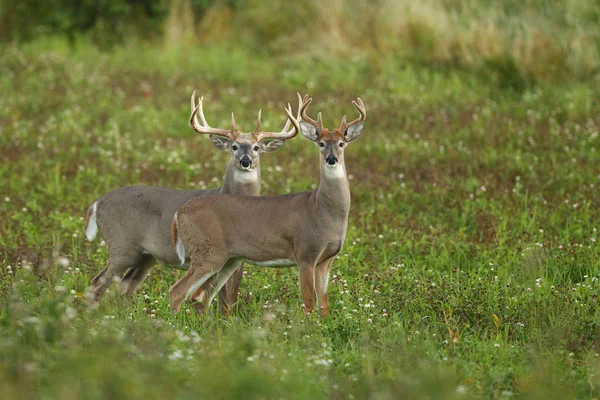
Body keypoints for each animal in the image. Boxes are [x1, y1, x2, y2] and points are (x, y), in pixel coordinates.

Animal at [84, 90, 300, 312]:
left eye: (256, 147)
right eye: (234, 146)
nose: (245, 161)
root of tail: (97, 203)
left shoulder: (238, 258)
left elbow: (228, 296)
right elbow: (211, 296)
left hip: (146, 256)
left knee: (125, 286)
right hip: (122, 246)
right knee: (98, 282)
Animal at [169, 94, 366, 316]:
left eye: (341, 143)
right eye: (321, 143)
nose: (331, 159)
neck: (322, 210)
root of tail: (180, 213)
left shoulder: (326, 260)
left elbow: (324, 305)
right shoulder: (305, 253)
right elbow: (308, 304)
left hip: (227, 259)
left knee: (200, 296)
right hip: (207, 252)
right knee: (177, 292)